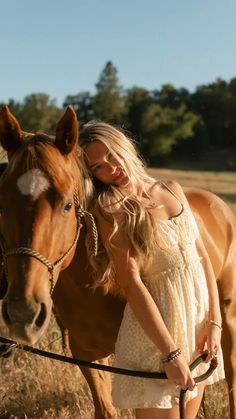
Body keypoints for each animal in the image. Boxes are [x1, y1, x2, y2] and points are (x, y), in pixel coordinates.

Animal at [0, 106, 235, 419]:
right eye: (2, 204)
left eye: (67, 205)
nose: (22, 312)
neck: (100, 283)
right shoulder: (87, 356)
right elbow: (106, 409)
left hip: (227, 315)